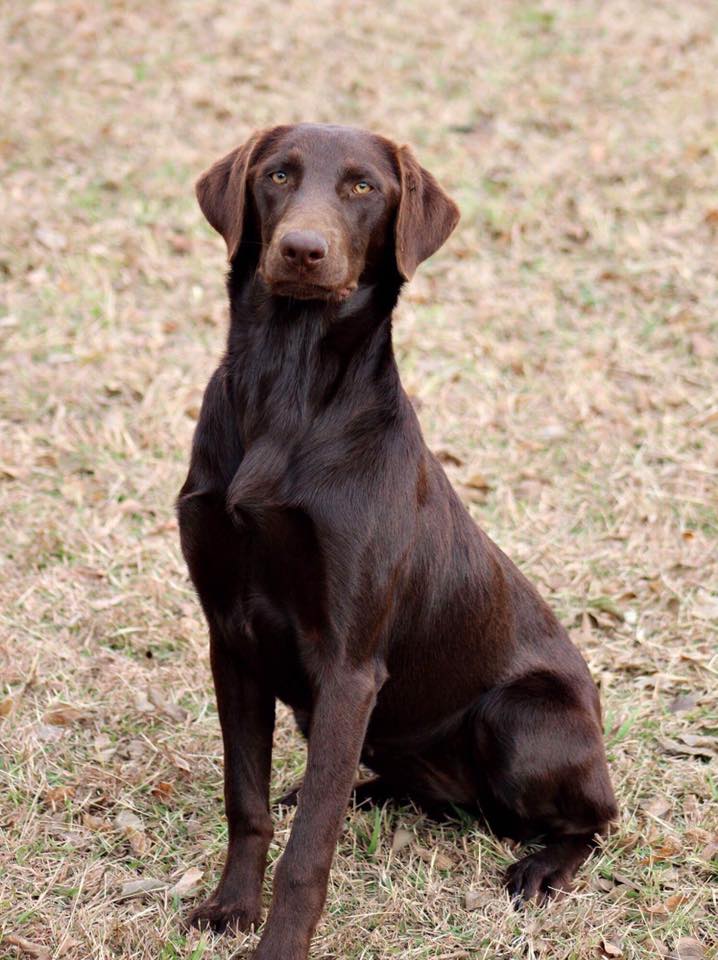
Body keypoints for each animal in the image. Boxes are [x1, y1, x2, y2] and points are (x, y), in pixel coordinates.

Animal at [179, 124, 620, 956]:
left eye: (363, 188)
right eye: (277, 175)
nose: (303, 249)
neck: (288, 383)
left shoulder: (349, 664)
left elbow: (307, 854)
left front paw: (279, 944)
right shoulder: (232, 641)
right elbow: (245, 801)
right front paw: (231, 909)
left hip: (523, 721)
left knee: (598, 820)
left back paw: (542, 867)